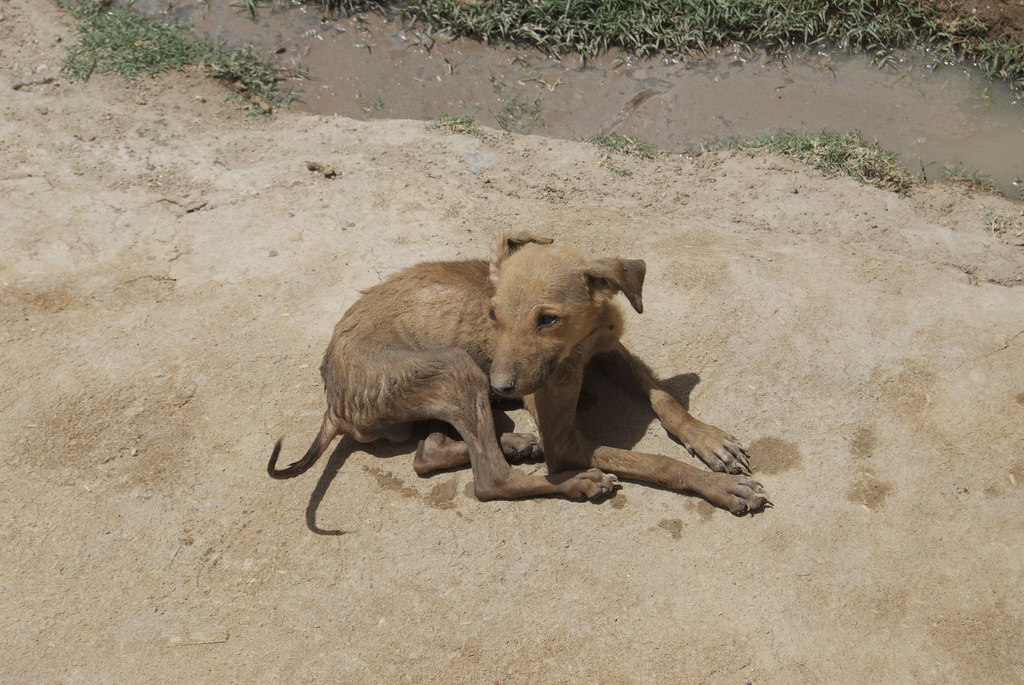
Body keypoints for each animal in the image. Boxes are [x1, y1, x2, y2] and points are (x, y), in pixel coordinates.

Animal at [268, 235, 765, 511]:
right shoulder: (565, 441)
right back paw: (574, 481)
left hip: (443, 388)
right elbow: (656, 461)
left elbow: (663, 396)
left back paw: (515, 441)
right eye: (492, 315)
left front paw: (710, 442)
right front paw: (719, 486)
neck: (578, 345)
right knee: (490, 481)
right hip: (459, 369)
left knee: (427, 453)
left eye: (548, 319)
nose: (501, 387)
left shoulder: (608, 349)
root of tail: (333, 406)